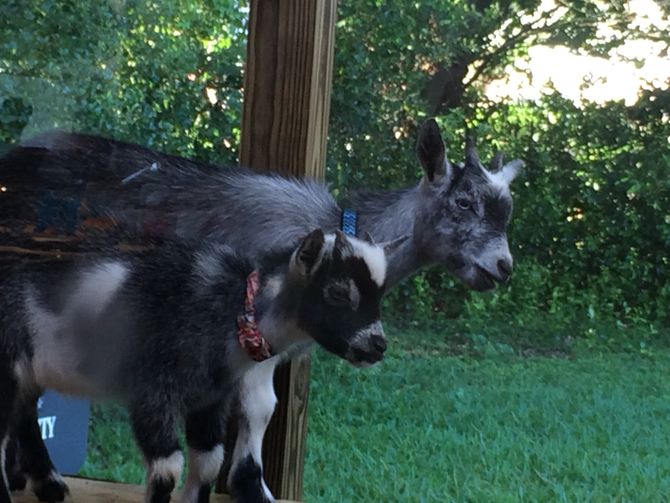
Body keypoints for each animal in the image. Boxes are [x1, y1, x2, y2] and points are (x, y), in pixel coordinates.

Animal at [0, 229, 391, 503]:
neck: (232, 311)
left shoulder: (211, 398)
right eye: (338, 292)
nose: (377, 345)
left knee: (23, 415)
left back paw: (49, 484)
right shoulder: (153, 391)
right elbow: (168, 469)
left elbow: (209, 461)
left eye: (379, 295)